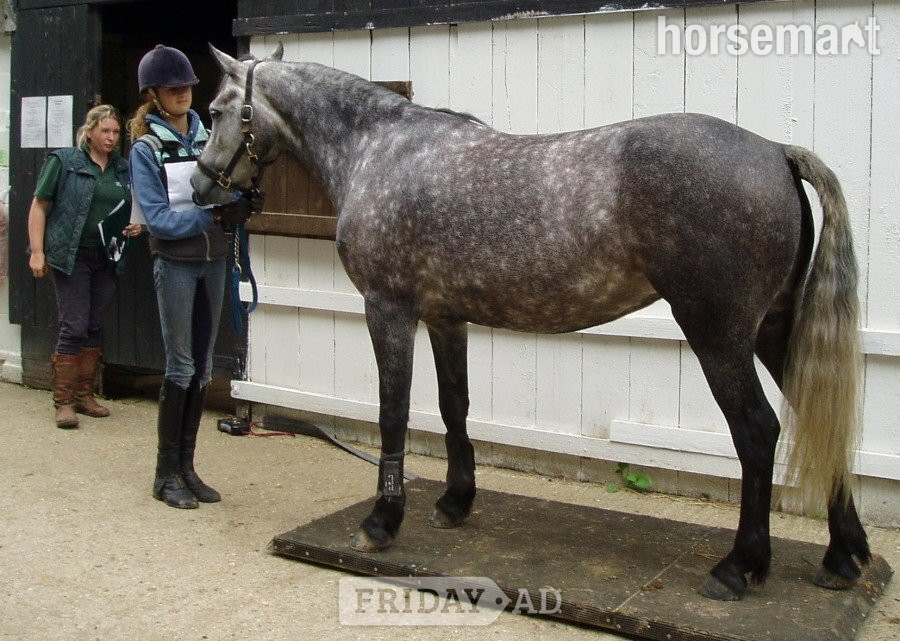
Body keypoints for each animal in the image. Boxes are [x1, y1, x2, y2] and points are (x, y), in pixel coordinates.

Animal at [192, 45, 871, 601]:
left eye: (220, 108)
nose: (201, 187)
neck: (378, 151)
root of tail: (775, 152)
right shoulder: (446, 318)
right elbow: (454, 405)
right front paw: (455, 501)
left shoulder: (388, 309)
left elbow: (394, 411)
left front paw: (382, 522)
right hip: (773, 328)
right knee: (819, 416)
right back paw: (844, 556)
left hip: (719, 336)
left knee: (757, 433)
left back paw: (738, 567)